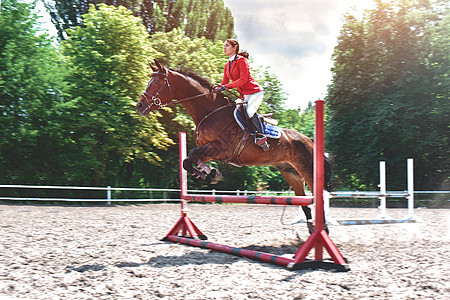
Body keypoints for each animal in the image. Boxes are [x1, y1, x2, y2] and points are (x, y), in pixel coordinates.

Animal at [135, 59, 328, 232]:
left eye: (157, 82)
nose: (139, 106)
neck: (209, 111)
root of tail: (310, 141)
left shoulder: (221, 149)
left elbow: (192, 155)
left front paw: (211, 174)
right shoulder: (210, 151)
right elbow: (188, 160)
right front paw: (211, 174)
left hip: (307, 169)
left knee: (319, 195)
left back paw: (323, 229)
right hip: (290, 172)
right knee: (304, 201)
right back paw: (312, 228)